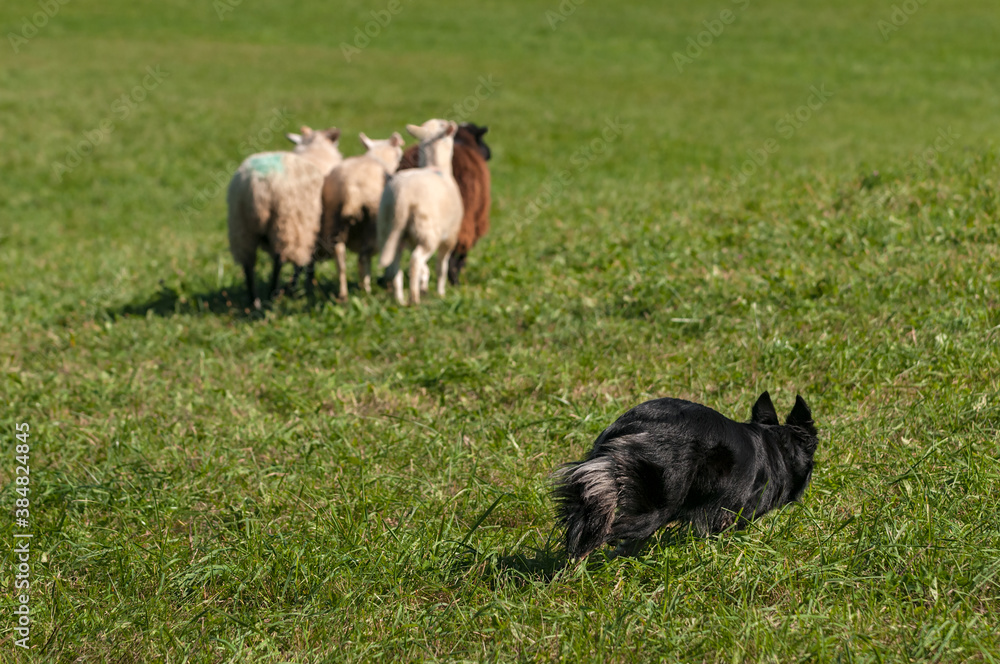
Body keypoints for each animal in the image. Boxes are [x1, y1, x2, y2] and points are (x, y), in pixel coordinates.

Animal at [227, 125, 342, 310]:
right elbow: (306, 263)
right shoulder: (310, 228)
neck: (315, 150)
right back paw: (272, 297)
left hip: (241, 225)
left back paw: (255, 302)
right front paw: (304, 287)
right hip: (287, 223)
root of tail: (256, 184)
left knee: (248, 263)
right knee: (279, 259)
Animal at [319, 132, 405, 300]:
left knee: (340, 260)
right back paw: (367, 292)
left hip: (333, 222)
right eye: (399, 155)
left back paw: (344, 296)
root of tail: (351, 189)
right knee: (364, 257)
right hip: (374, 222)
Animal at [377, 119, 463, 305]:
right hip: (426, 231)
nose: (452, 123)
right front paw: (440, 292)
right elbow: (441, 266)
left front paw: (424, 281)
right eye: (443, 124)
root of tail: (401, 195)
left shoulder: (410, 239)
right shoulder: (450, 236)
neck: (437, 166)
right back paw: (414, 298)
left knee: (394, 265)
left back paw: (400, 299)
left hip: (389, 230)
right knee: (415, 260)